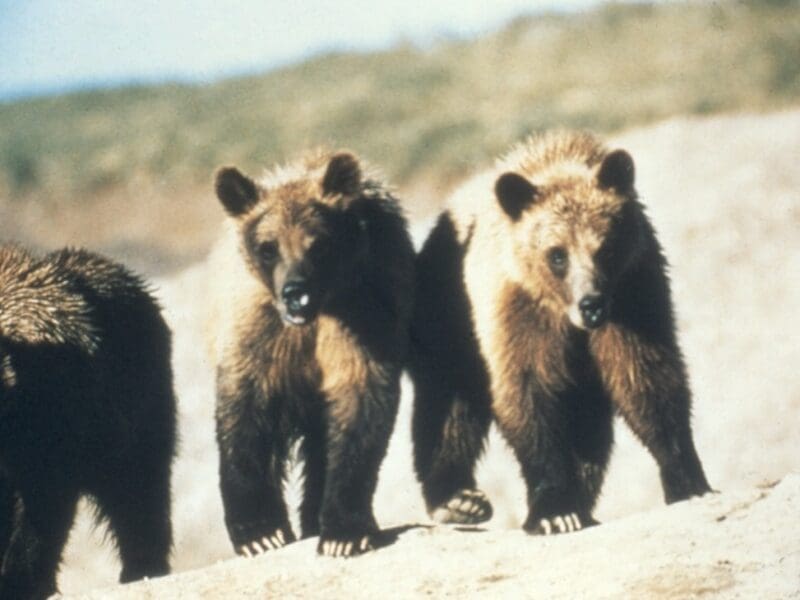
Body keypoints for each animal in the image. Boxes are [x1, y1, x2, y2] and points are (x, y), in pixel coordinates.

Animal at [0, 245, 176, 600]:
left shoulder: (53, 424)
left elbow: (44, 504)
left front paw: (21, 582)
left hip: (138, 410)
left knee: (139, 490)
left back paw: (143, 566)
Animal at [209, 150, 414, 558]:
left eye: (318, 244)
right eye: (268, 247)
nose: (295, 293)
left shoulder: (365, 313)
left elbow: (360, 406)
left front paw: (344, 532)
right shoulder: (257, 329)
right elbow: (244, 411)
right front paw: (259, 531)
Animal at [409, 131, 711, 534]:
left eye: (605, 248)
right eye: (557, 254)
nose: (591, 304)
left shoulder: (635, 296)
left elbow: (646, 379)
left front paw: (687, 480)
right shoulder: (519, 314)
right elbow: (529, 395)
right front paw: (555, 510)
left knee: (590, 425)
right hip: (447, 318)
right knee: (449, 405)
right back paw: (457, 500)